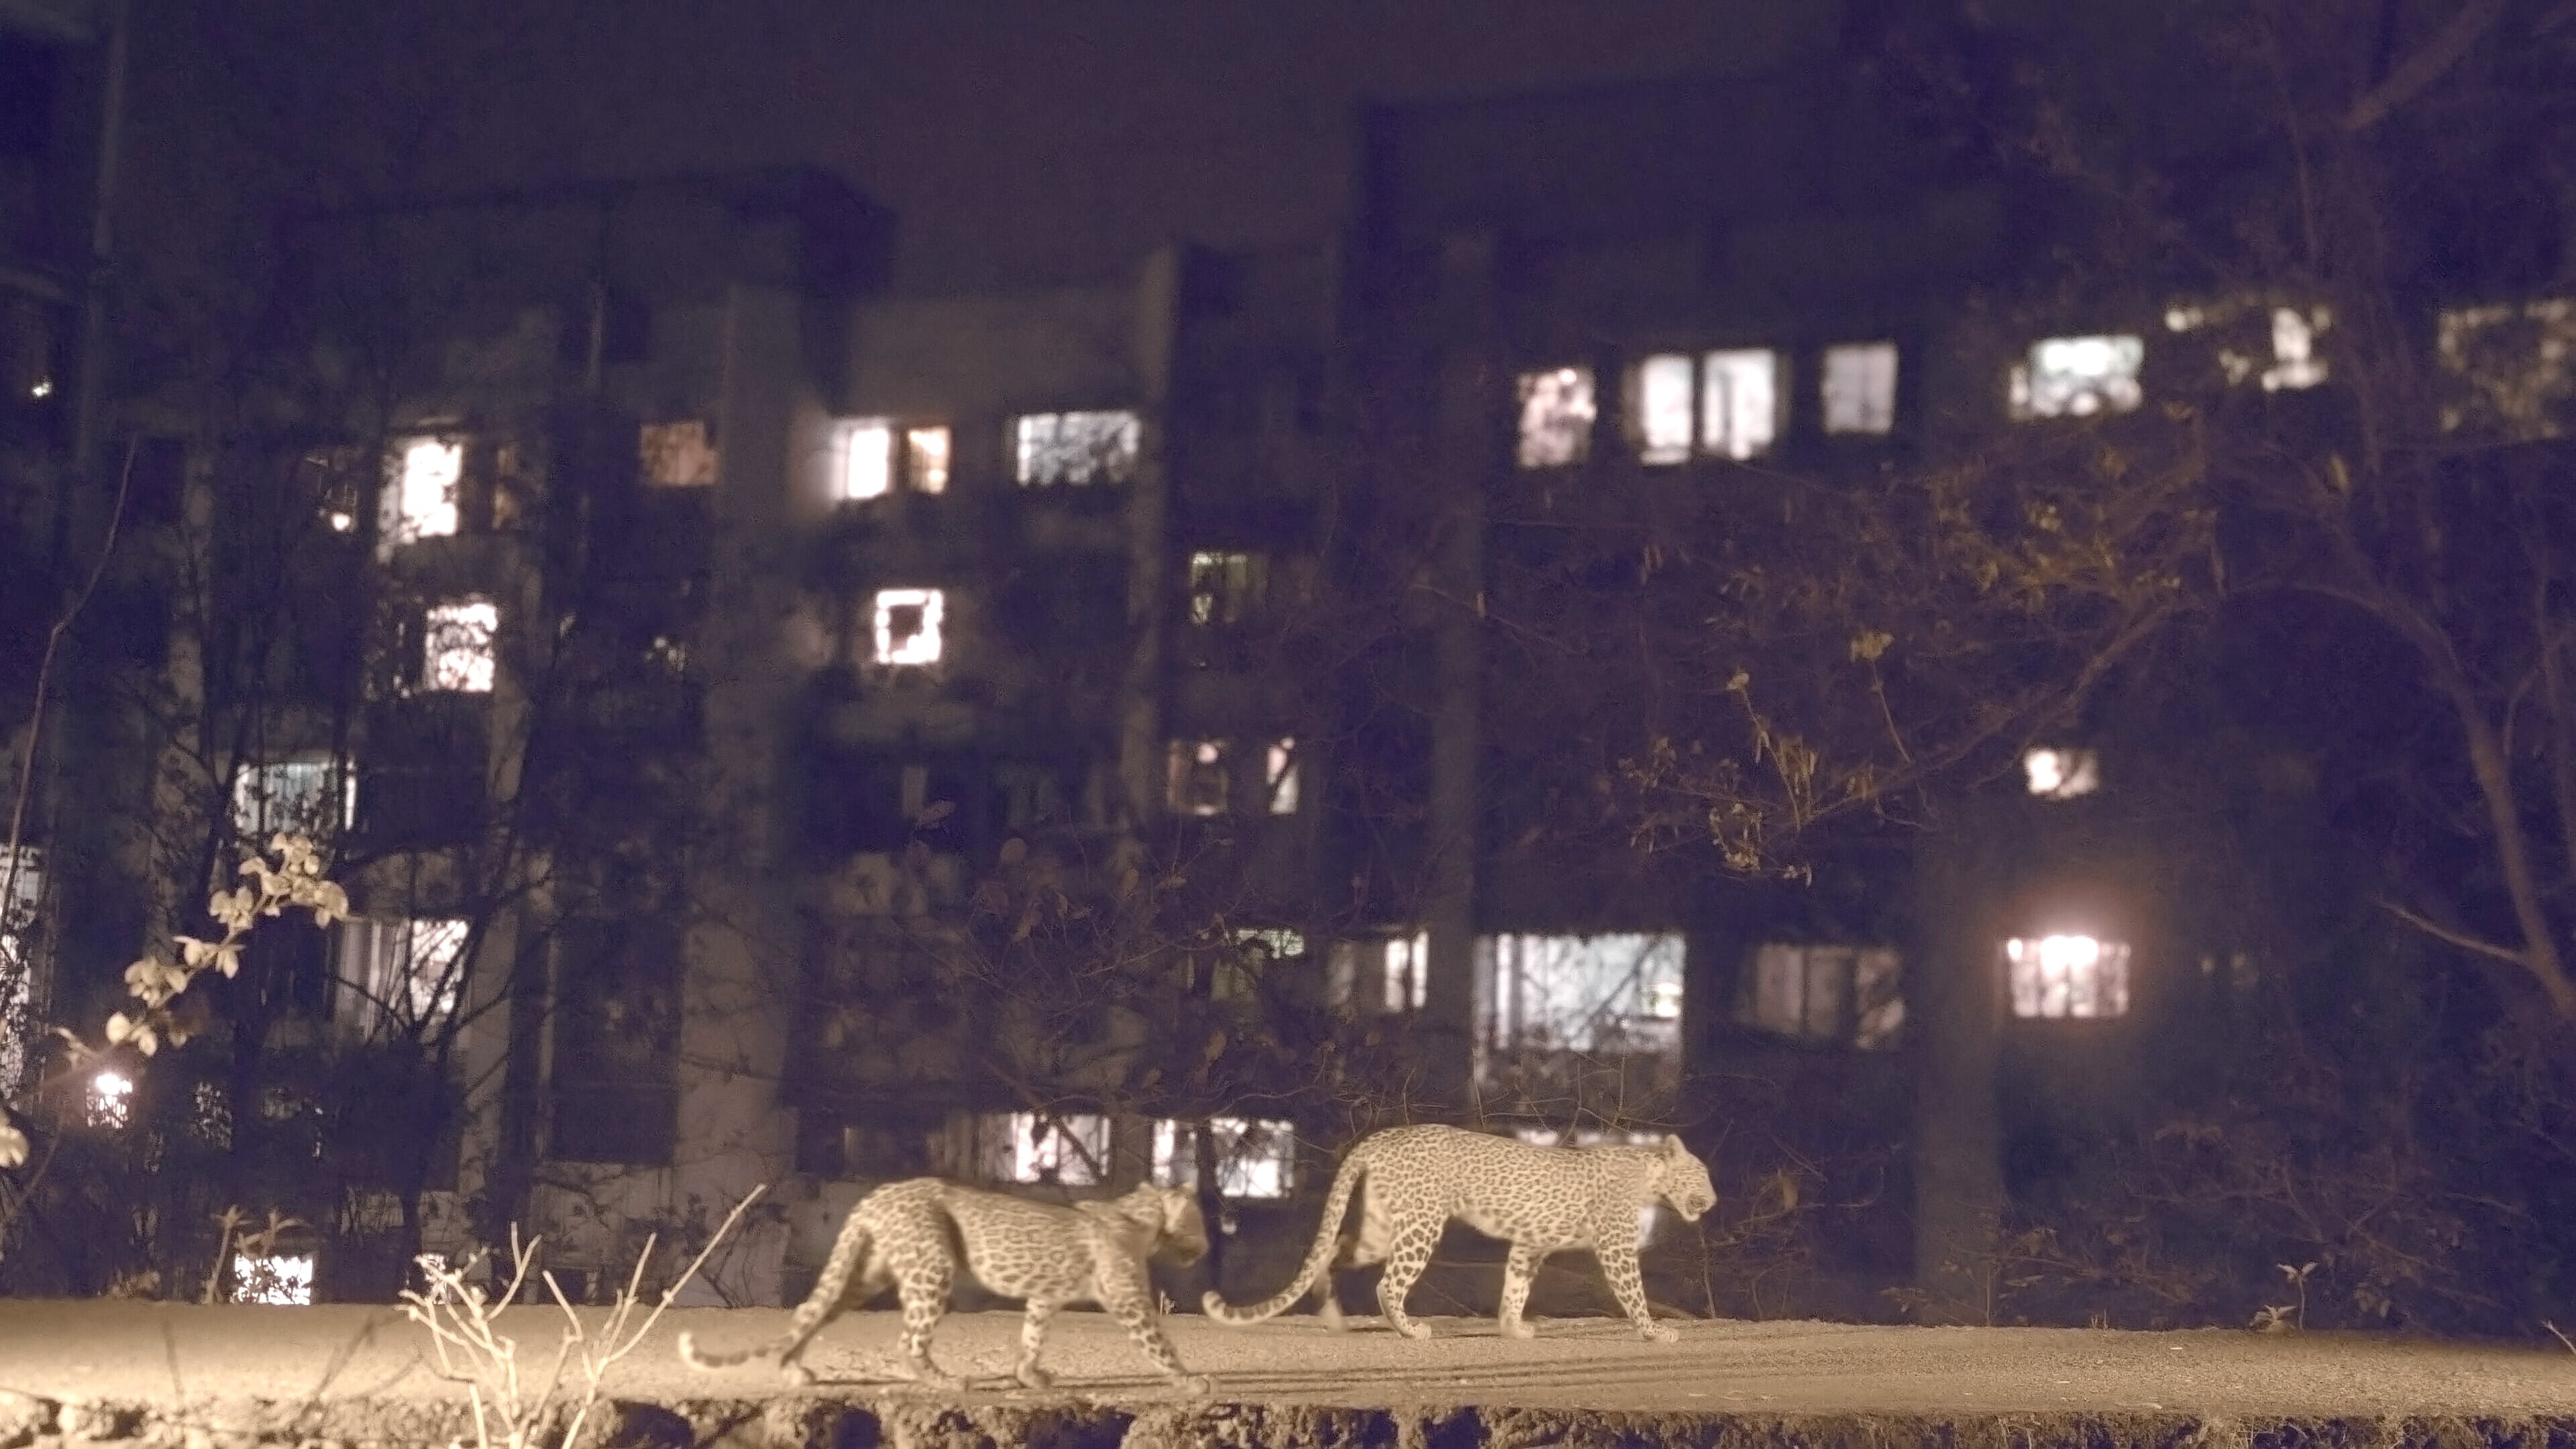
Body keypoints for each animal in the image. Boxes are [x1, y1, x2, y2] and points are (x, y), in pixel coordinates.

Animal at [675, 1175, 1216, 1392]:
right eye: (1202, 1220)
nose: (1208, 1246)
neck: (1145, 1219)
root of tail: (877, 1195)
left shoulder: (1045, 1298)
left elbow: (1032, 1336)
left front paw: (1028, 1377)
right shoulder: (1129, 1302)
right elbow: (1159, 1344)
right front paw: (1191, 1381)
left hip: (869, 1272)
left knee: (813, 1312)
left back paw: (793, 1371)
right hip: (930, 1266)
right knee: (908, 1339)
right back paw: (949, 1381)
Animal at [1200, 1119, 1710, 1340]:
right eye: (1701, 1174)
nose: (1713, 1199)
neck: (1650, 1177)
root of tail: (1382, 1137)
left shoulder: (1530, 1244)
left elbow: (1516, 1286)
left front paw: (1513, 1328)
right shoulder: (1617, 1247)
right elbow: (1634, 1292)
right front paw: (1655, 1332)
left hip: (1383, 1225)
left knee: (1338, 1249)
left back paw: (1334, 1317)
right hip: (1421, 1224)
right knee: (1388, 1283)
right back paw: (1410, 1330)